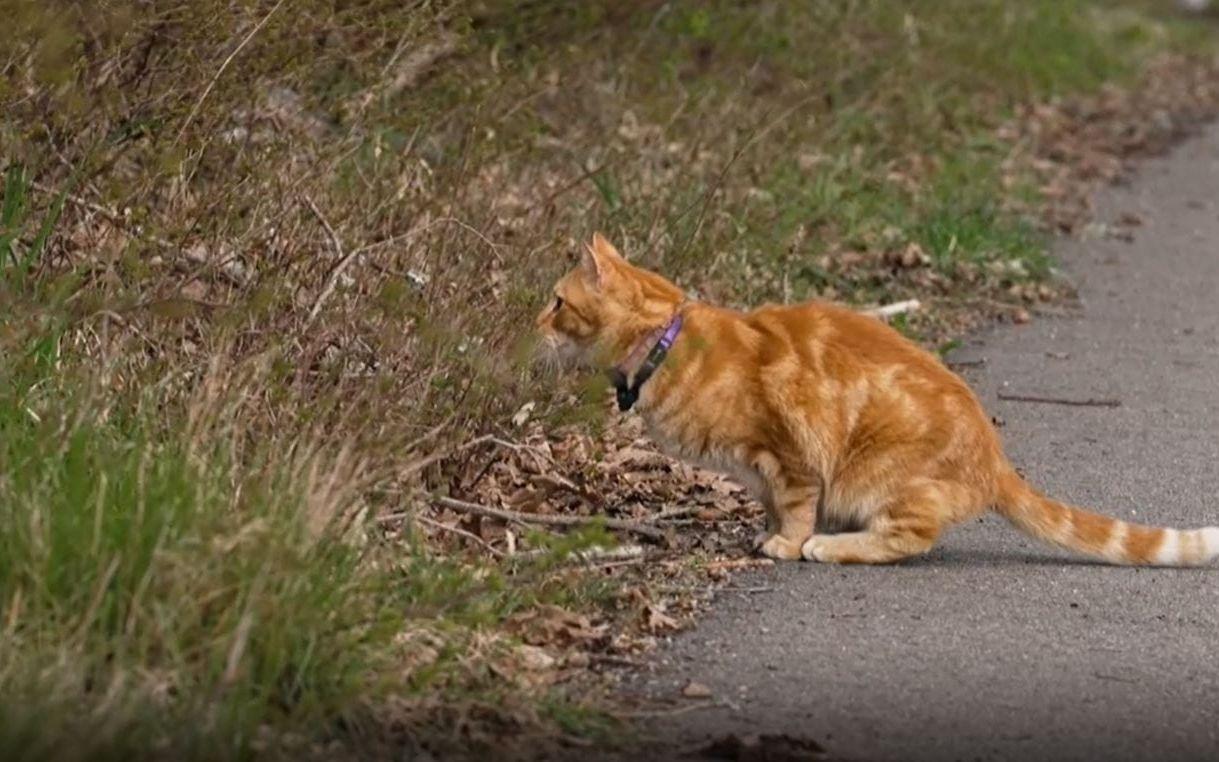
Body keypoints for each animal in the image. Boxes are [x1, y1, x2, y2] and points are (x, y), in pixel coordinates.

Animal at [538, 231, 1219, 565]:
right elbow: (770, 505)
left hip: (882, 477)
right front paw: (764, 533)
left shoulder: (787, 455)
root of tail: (996, 462)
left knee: (906, 540)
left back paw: (830, 547)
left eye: (557, 301)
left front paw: (788, 542)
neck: (667, 342)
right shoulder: (762, 473)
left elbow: (795, 504)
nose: (534, 320)